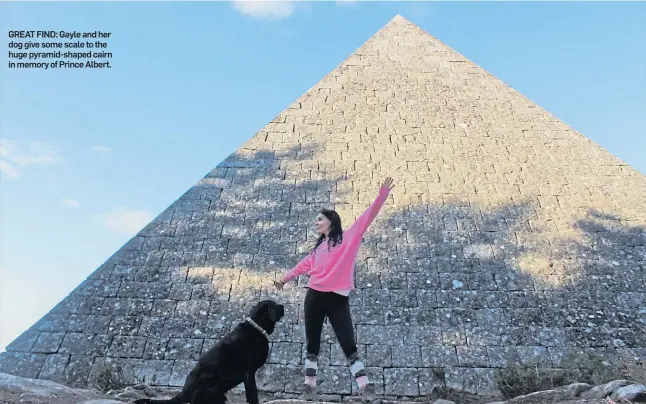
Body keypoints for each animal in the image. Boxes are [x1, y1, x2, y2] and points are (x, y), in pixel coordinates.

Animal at [134, 300, 286, 404]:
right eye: (275, 305)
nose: (283, 306)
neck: (256, 328)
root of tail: (183, 394)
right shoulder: (249, 373)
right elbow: (252, 394)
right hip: (208, 376)